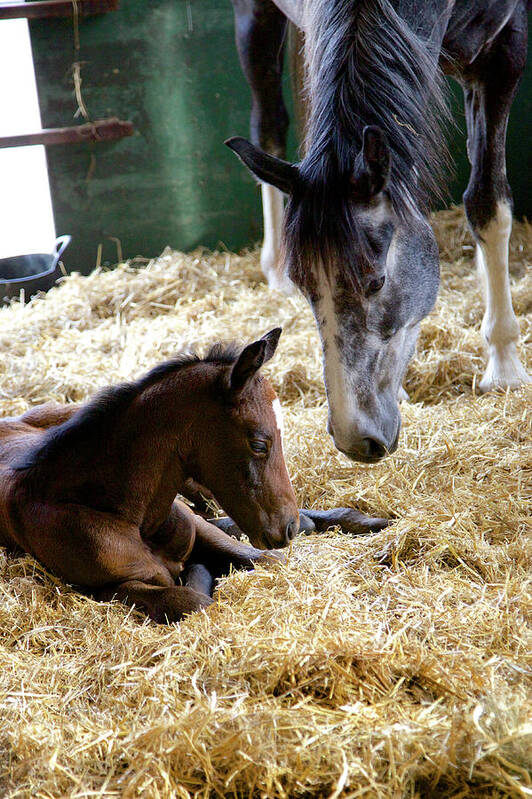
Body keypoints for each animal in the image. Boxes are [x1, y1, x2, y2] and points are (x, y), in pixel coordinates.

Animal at [227, 0, 528, 462]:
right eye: (306, 287)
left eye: (377, 281)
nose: (354, 439)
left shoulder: (500, 56)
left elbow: (487, 206)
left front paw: (505, 364)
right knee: (269, 126)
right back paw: (272, 266)